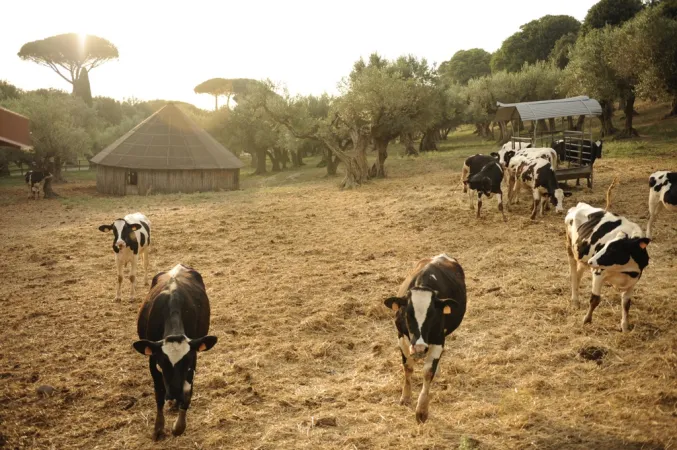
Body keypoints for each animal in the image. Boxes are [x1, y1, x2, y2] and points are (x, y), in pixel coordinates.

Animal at [132, 264, 217, 440]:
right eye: (162, 363)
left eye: (186, 362)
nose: (174, 395)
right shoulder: (153, 359)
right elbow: (159, 393)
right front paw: (158, 428)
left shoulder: (193, 357)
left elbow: (188, 391)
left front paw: (179, 426)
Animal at [382, 255, 468, 424]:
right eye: (407, 314)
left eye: (433, 314)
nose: (419, 347)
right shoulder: (401, 337)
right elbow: (407, 368)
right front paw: (405, 397)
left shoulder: (439, 339)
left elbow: (428, 372)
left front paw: (421, 410)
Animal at [564, 202, 648, 332]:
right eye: (605, 246)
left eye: (614, 250)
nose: (591, 261)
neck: (625, 270)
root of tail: (579, 205)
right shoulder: (598, 273)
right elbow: (595, 299)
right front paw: (586, 320)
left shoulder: (633, 281)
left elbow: (626, 303)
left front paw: (625, 327)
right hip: (570, 248)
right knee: (573, 275)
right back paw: (575, 301)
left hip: (582, 257)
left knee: (578, 274)